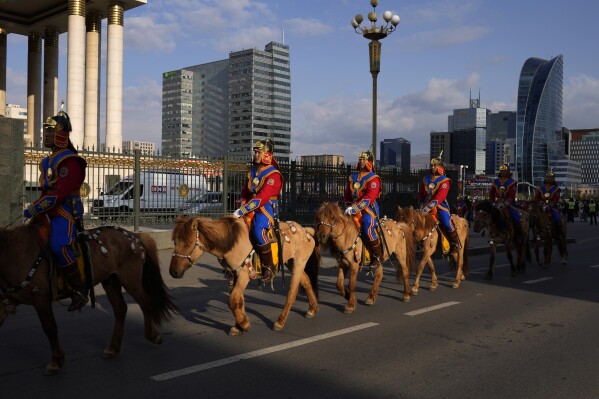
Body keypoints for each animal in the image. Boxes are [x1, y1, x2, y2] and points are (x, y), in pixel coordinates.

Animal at [0, 222, 178, 376]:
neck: (15, 254)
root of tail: (134, 235)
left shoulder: (41, 300)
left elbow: (50, 329)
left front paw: (56, 362)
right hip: (111, 281)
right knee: (120, 309)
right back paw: (113, 347)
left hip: (130, 280)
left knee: (146, 302)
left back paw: (152, 336)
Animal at [169, 217, 322, 336]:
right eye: (175, 242)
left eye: (187, 243)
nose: (173, 272)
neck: (232, 242)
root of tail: (306, 231)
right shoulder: (236, 274)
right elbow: (238, 300)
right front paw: (239, 325)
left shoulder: (244, 275)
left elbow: (232, 299)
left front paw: (243, 324)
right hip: (290, 262)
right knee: (306, 281)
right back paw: (312, 309)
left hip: (299, 262)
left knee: (292, 291)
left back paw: (280, 321)